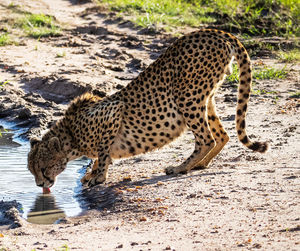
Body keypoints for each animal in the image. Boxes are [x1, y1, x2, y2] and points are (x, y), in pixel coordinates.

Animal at [27, 28, 268, 187]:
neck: (70, 135)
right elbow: (100, 156)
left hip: (187, 96)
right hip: (205, 96)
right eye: (31, 170)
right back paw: (201, 164)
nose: (39, 185)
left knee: (206, 138)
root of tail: (215, 30)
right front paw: (90, 174)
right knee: (222, 135)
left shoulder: (113, 112)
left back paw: (181, 167)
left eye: (43, 168)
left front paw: (98, 177)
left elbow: (103, 153)